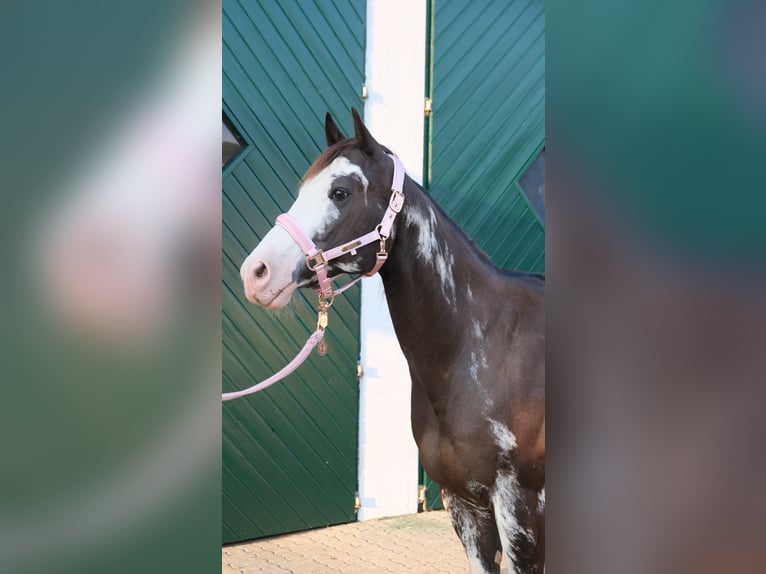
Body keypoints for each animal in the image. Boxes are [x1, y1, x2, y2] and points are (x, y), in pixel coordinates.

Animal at [240, 109, 544, 574]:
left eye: (340, 192)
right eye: (301, 190)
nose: (255, 273)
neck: (485, 347)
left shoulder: (520, 510)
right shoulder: (465, 505)